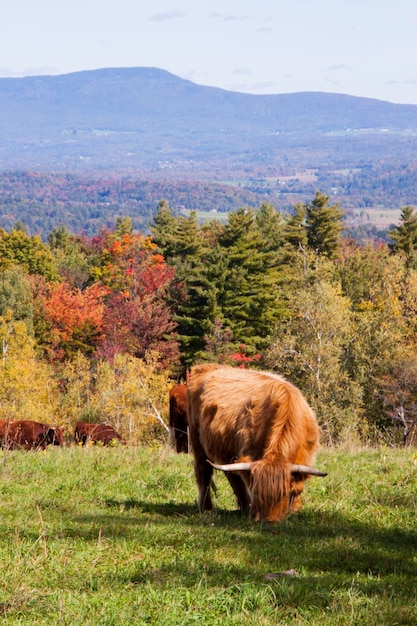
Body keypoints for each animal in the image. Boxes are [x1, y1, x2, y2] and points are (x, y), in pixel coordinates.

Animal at [185, 364, 324, 520]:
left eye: (283, 493)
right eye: (257, 493)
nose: (269, 521)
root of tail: (207, 367)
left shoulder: (304, 458)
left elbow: (298, 487)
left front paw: (295, 509)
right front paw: (253, 511)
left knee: (232, 476)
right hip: (196, 440)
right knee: (204, 472)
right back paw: (207, 508)